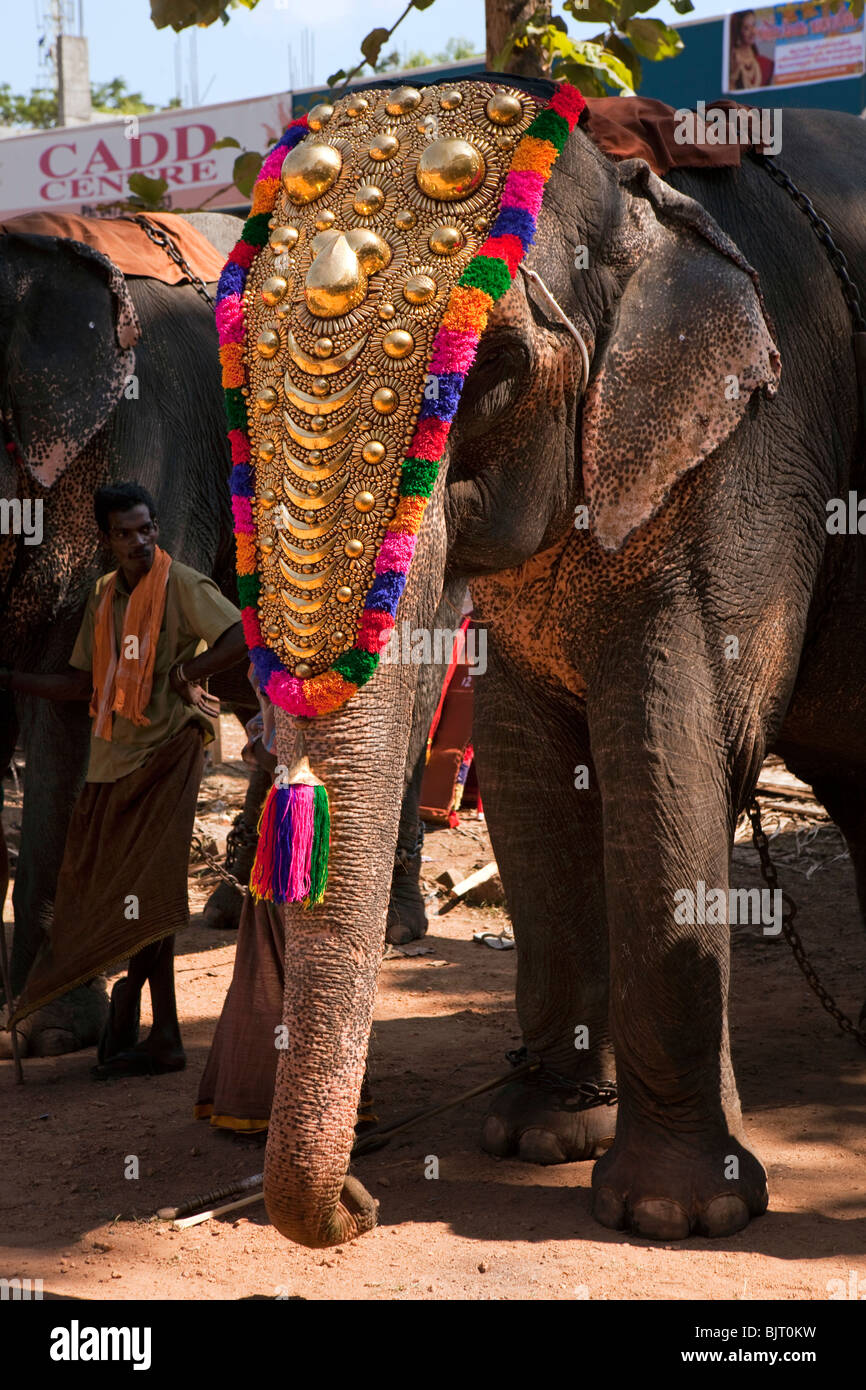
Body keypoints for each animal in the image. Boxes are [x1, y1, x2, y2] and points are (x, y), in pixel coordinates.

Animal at [249, 79, 866, 1248]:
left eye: (487, 373)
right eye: (234, 384)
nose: (359, 1200)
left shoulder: (754, 448)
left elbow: (672, 750)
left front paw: (674, 1213)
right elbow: (528, 774)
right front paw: (541, 1136)